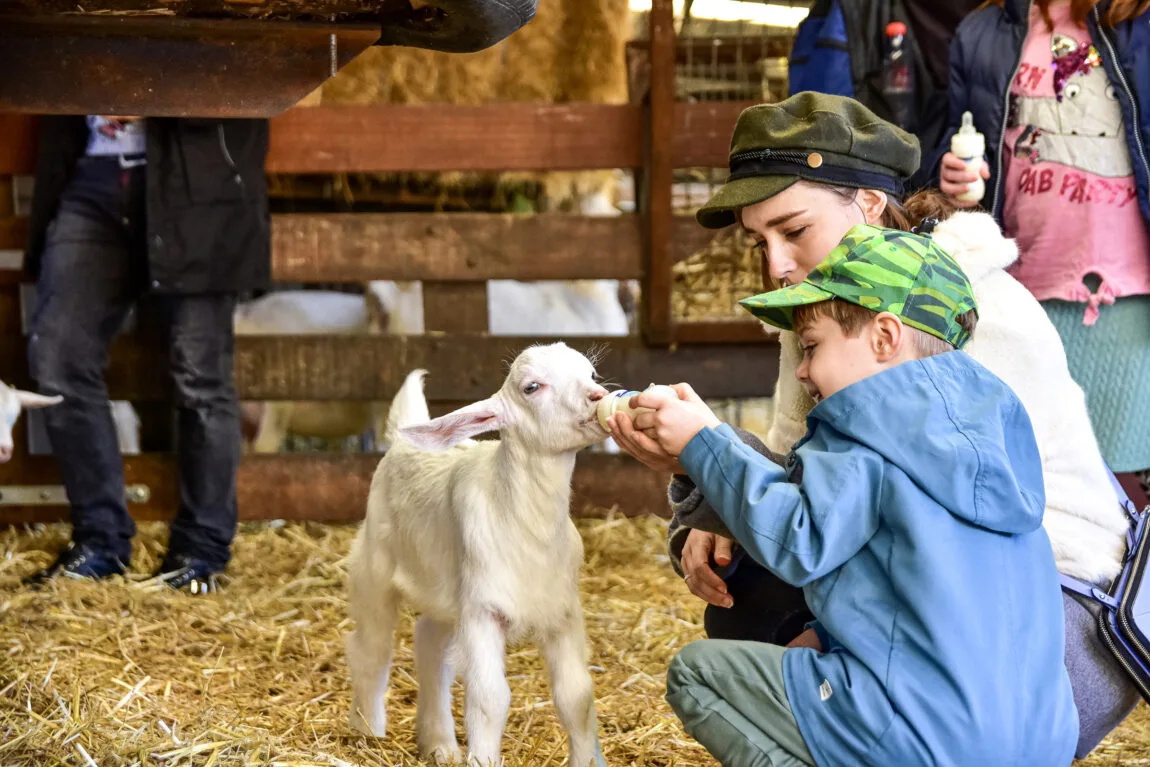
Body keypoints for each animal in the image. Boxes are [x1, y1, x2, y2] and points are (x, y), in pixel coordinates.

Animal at [345, 342, 609, 767]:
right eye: (531, 387)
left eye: (591, 374)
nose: (597, 397)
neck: (528, 528)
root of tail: (401, 442)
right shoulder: (483, 609)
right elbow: (489, 699)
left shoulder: (562, 611)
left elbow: (576, 696)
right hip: (374, 566)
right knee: (371, 647)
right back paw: (366, 730)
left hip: (446, 592)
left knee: (430, 645)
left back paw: (439, 743)